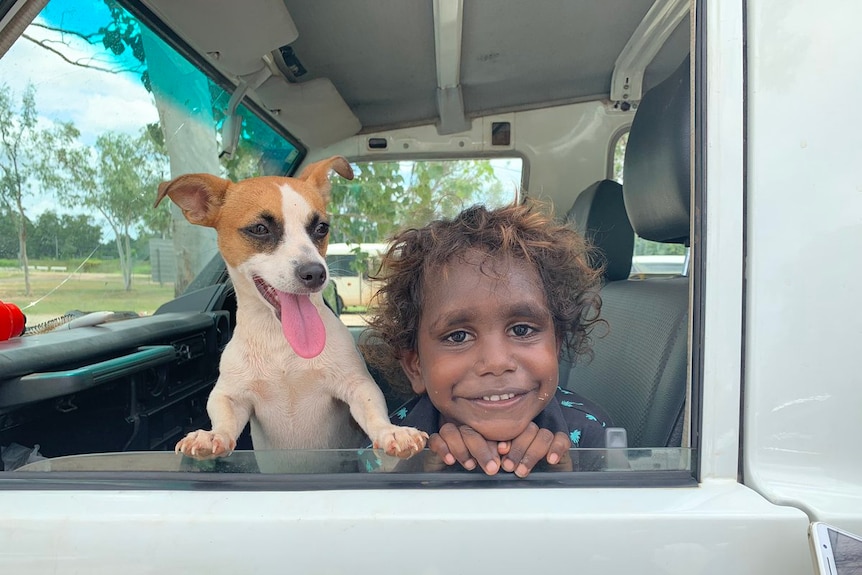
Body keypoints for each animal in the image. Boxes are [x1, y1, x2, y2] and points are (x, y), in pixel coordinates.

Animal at [154, 156, 428, 460]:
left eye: (321, 228)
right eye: (259, 228)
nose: (316, 273)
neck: (282, 344)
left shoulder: (357, 386)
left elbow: (372, 412)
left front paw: (392, 431)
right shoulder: (230, 396)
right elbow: (224, 419)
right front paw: (211, 436)